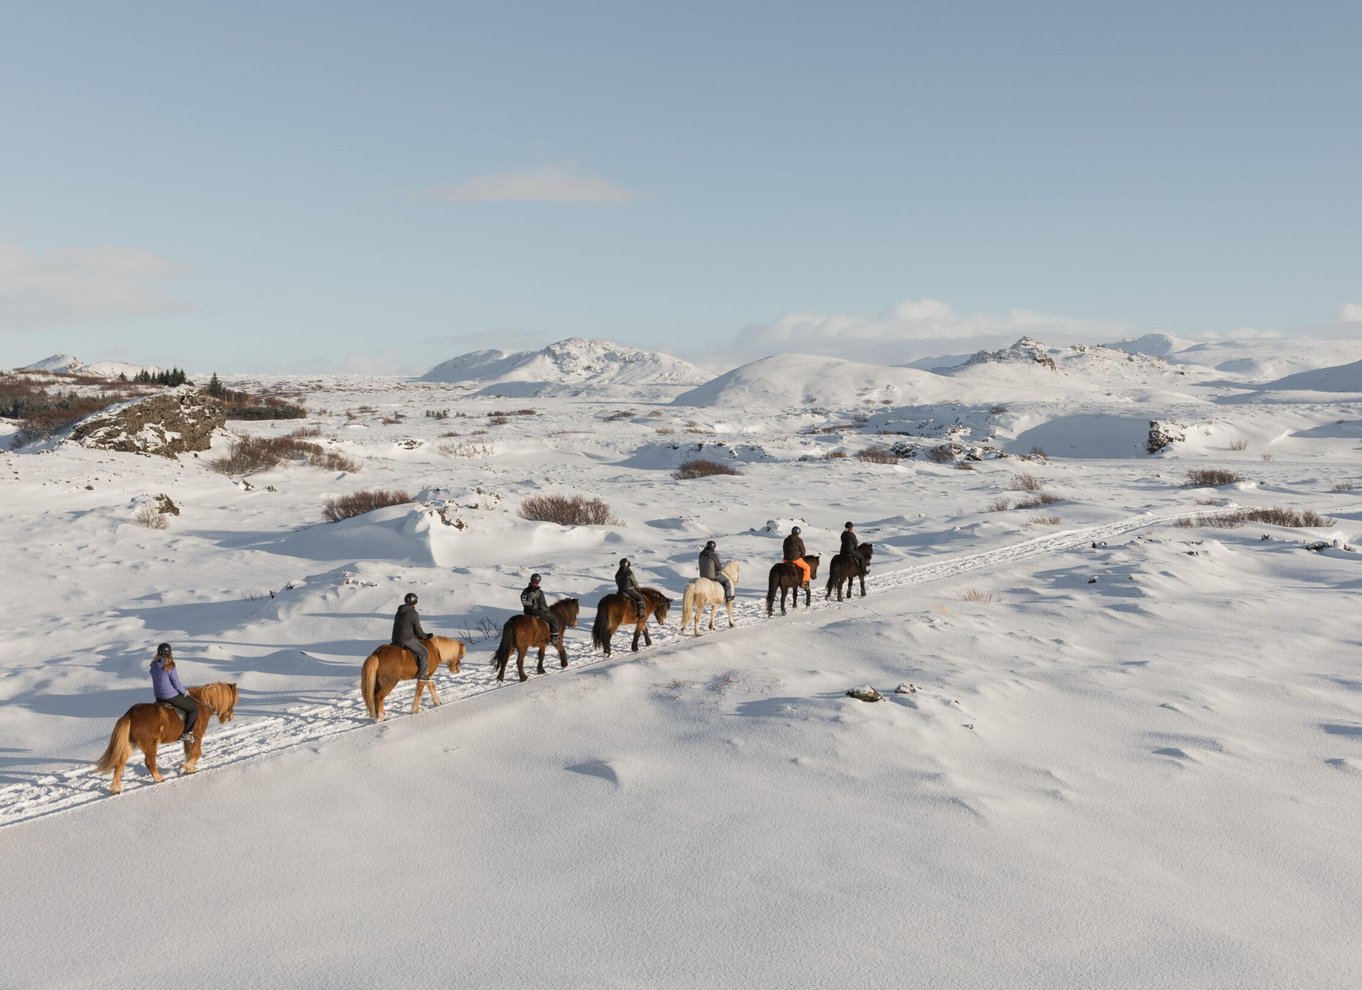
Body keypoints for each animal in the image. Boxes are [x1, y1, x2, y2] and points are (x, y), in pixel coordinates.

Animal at [91, 680, 238, 795]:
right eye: (234, 700)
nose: (231, 717)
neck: (203, 703)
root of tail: (130, 715)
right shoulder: (196, 736)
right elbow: (197, 753)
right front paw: (185, 767)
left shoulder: (188, 740)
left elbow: (189, 754)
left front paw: (189, 769)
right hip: (150, 745)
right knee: (149, 763)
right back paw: (159, 778)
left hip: (130, 745)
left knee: (119, 765)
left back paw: (116, 789)